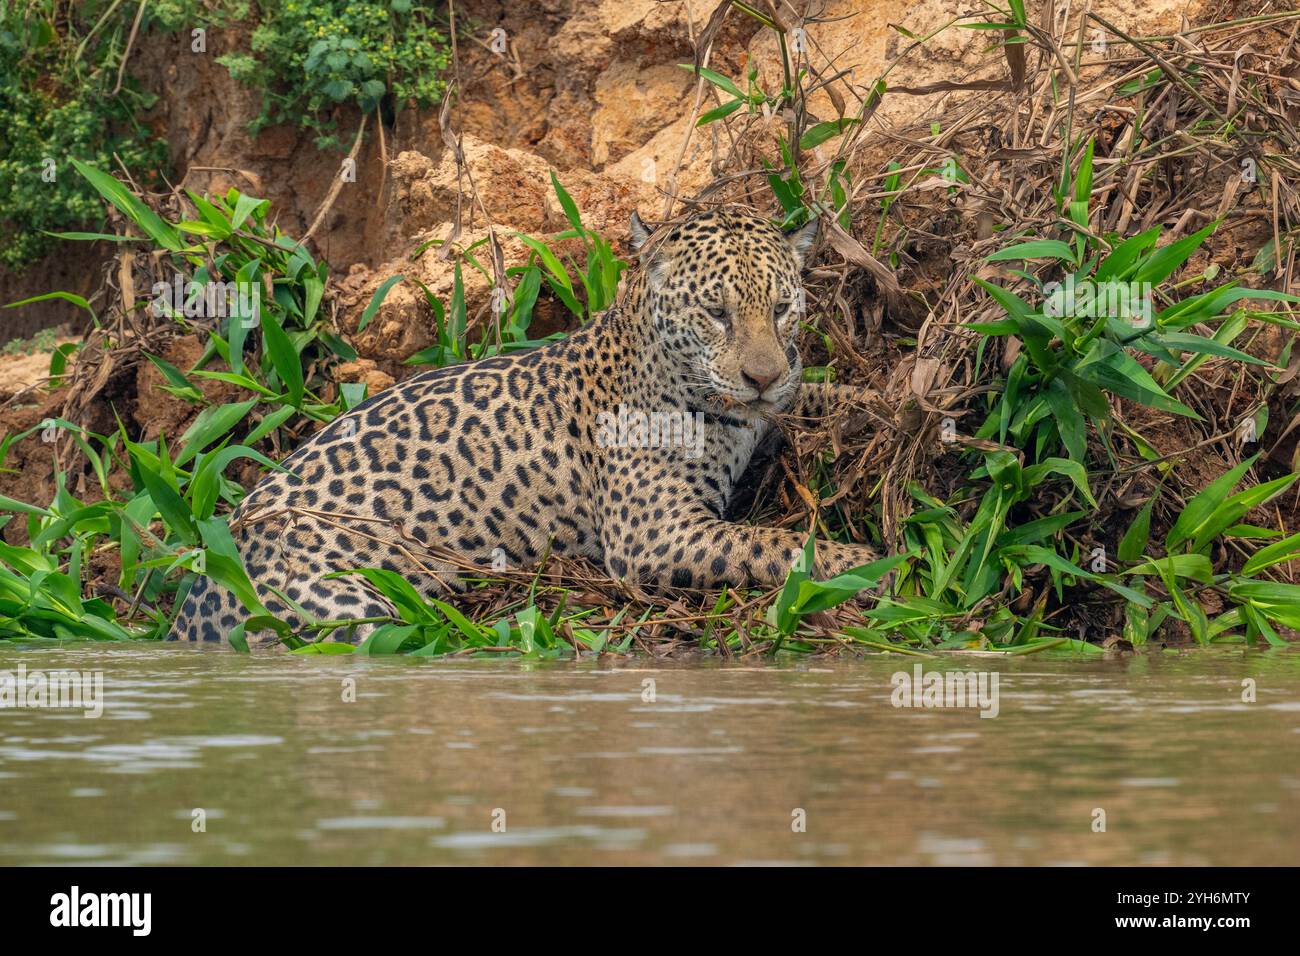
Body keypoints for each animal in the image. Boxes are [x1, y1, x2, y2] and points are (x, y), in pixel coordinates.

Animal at [167, 205, 880, 645]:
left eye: (782, 308)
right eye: (716, 312)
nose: (762, 376)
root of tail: (195, 599)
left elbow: (811, 400)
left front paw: (873, 399)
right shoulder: (653, 537)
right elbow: (774, 545)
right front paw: (868, 563)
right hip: (346, 608)